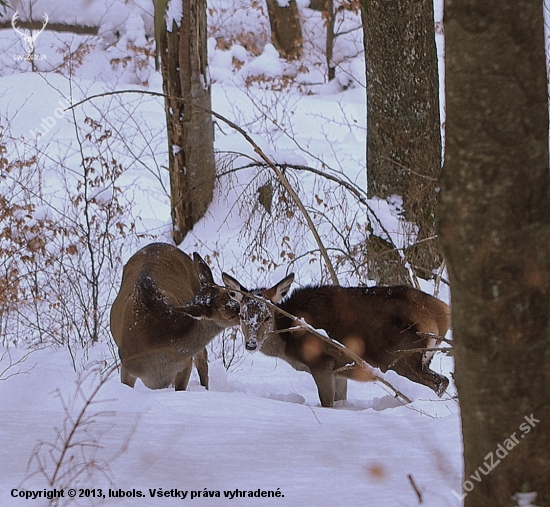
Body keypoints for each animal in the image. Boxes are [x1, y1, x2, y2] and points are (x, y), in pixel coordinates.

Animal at [222, 274, 454, 408]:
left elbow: (327, 402)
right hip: (421, 359)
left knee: (439, 381)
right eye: (241, 315)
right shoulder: (341, 369)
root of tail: (442, 313)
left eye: (267, 317)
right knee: (442, 380)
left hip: (403, 358)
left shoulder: (321, 362)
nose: (251, 344)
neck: (288, 340)